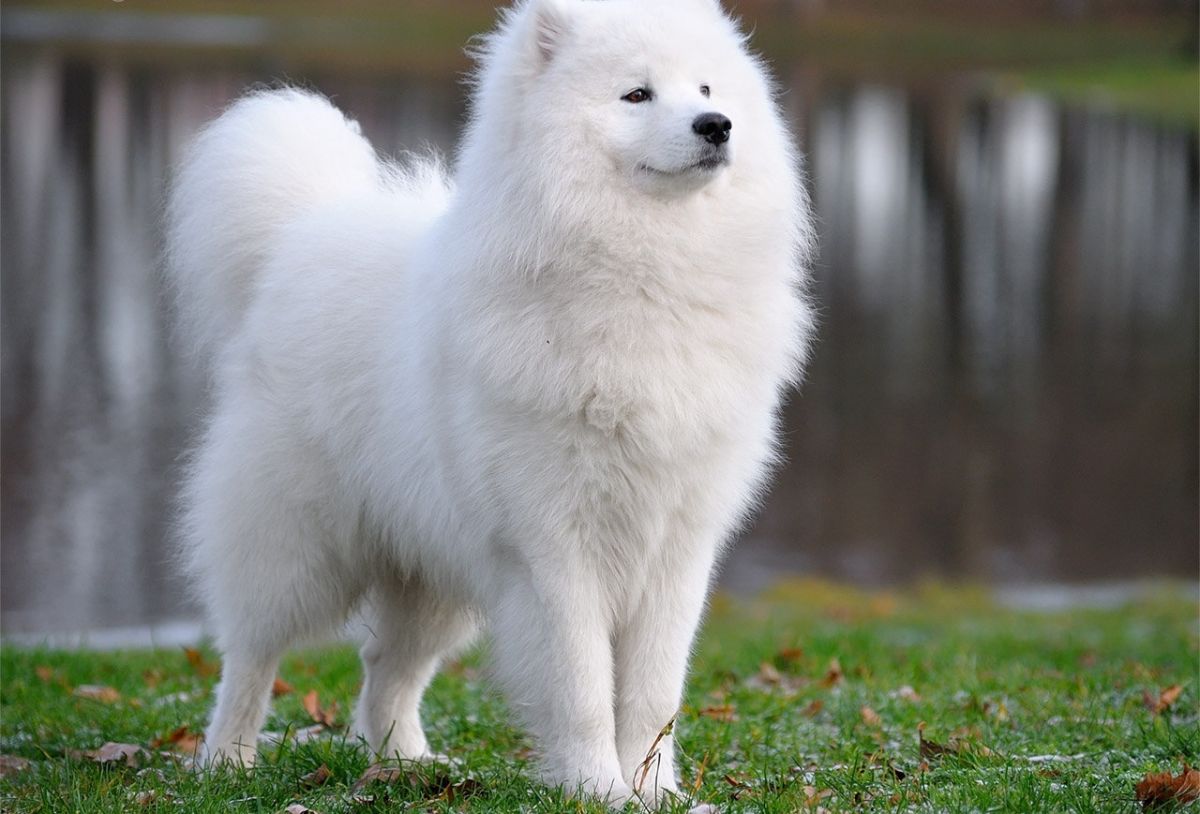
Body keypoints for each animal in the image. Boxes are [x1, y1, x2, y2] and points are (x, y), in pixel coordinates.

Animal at [166, 0, 816, 806]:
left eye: (705, 87)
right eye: (637, 95)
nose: (716, 125)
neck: (645, 275)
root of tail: (302, 234)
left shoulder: (678, 547)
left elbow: (653, 693)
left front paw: (657, 792)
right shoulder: (554, 546)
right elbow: (581, 685)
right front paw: (597, 789)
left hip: (431, 572)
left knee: (388, 671)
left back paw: (407, 763)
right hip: (296, 545)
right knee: (252, 654)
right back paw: (227, 759)